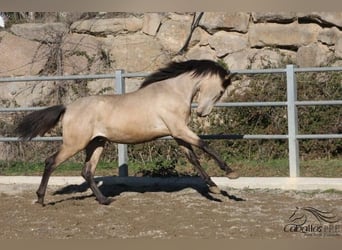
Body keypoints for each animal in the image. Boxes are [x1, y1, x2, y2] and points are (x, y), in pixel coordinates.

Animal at [16, 59, 239, 205]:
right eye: (221, 91)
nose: (202, 113)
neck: (172, 92)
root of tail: (68, 107)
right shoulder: (180, 129)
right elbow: (204, 145)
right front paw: (230, 173)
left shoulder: (178, 134)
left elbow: (194, 158)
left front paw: (214, 187)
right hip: (74, 144)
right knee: (51, 162)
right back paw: (40, 199)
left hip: (97, 143)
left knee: (87, 171)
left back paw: (104, 200)